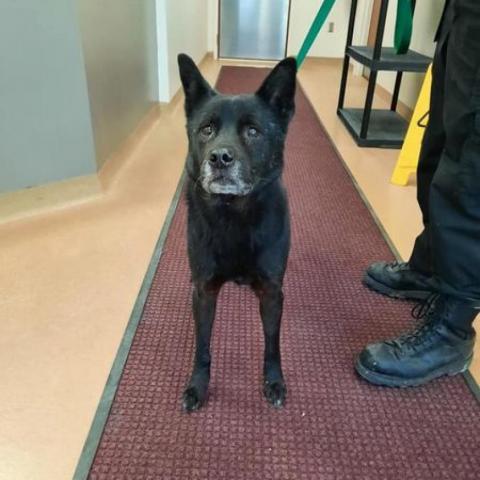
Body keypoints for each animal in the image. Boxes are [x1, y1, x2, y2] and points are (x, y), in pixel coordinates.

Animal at [177, 54, 296, 410]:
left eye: (253, 131)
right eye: (206, 129)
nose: (220, 157)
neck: (234, 216)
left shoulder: (272, 292)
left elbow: (272, 344)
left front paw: (274, 381)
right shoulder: (203, 291)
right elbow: (202, 346)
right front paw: (198, 385)